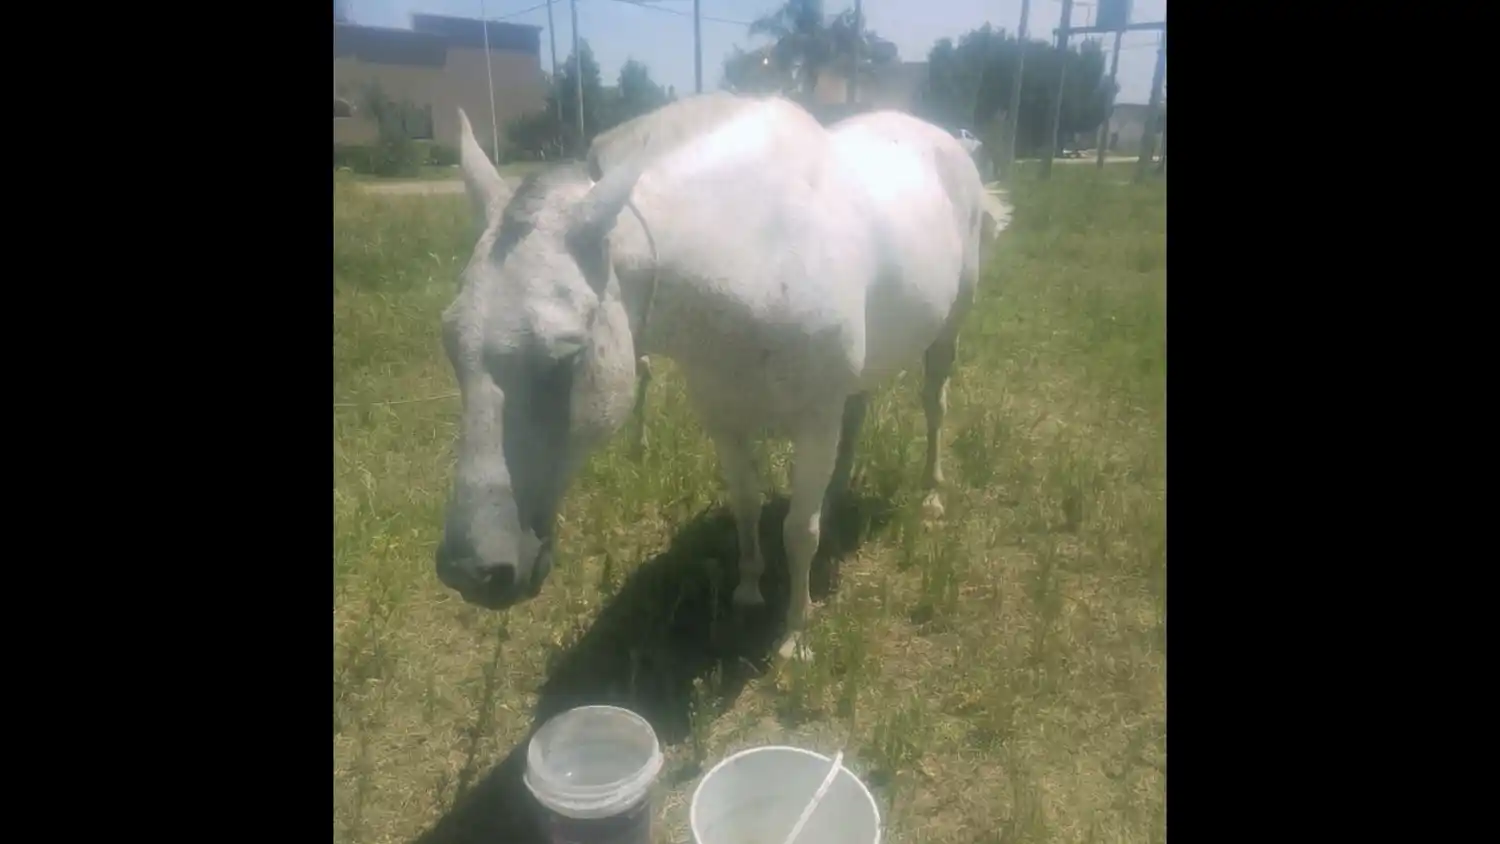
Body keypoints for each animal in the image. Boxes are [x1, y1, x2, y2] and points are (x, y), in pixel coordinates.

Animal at [435, 94, 1010, 660]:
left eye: (566, 356)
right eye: (451, 346)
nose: (472, 572)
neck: (757, 255)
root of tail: (950, 144)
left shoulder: (814, 423)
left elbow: (798, 531)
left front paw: (795, 634)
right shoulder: (725, 421)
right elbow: (747, 506)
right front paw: (749, 592)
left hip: (947, 333)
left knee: (934, 404)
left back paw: (930, 495)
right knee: (858, 412)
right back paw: (836, 493)